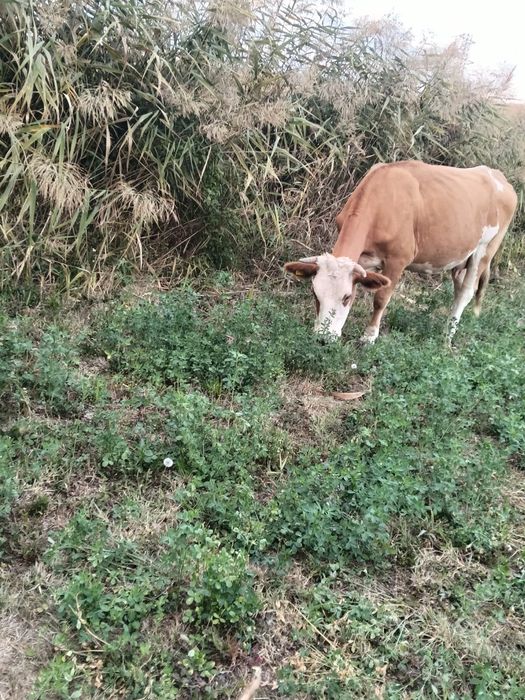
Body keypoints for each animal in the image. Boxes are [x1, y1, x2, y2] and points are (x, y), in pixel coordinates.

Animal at [285, 161, 518, 342]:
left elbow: (381, 298)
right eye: (315, 294)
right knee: (459, 289)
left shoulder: (399, 259)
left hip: (485, 249)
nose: (323, 339)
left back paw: (448, 336)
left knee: (467, 291)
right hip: (461, 257)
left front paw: (369, 336)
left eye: (346, 297)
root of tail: (497, 175)